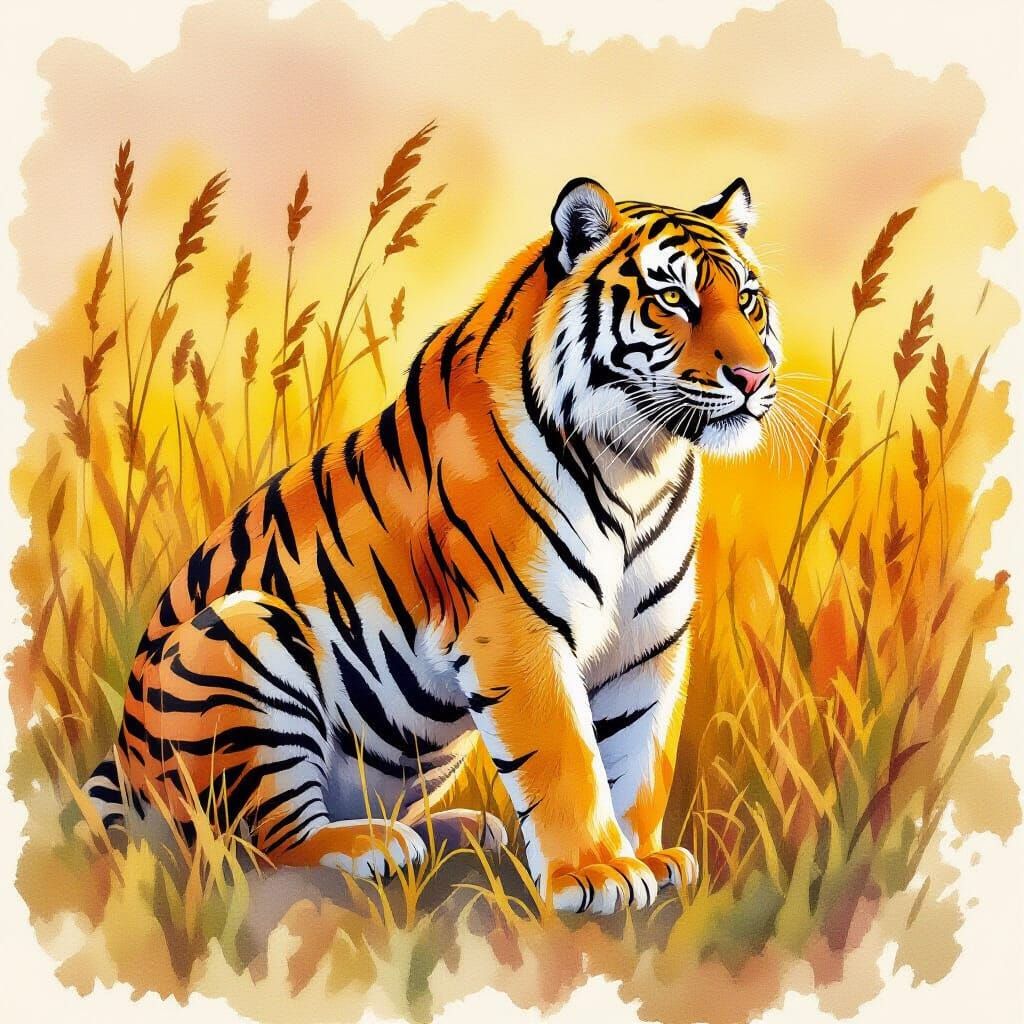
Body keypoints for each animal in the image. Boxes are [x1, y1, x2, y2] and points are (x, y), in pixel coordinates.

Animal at [85, 175, 780, 915]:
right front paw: (597, 874)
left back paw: (461, 830)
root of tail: (119, 764)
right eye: (672, 299)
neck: (638, 460)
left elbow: (641, 757)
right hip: (243, 634)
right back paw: (374, 845)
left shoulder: (649, 641)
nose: (753, 376)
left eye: (747, 299)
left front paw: (646, 857)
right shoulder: (518, 628)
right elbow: (566, 757)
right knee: (260, 842)